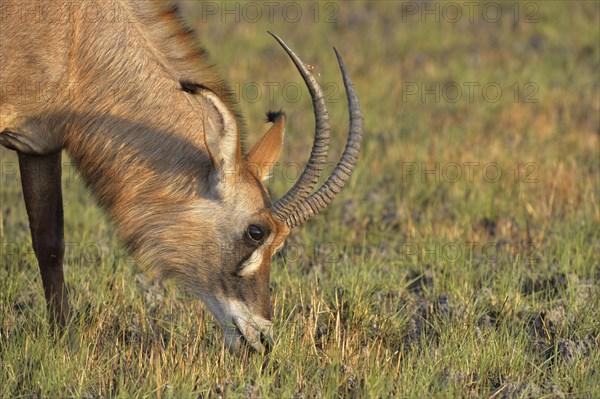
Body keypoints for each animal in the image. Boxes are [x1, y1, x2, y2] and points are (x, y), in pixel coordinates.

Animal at [0, 0, 360, 354]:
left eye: (282, 240)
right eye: (256, 232)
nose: (262, 339)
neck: (78, 39)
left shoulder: (40, 144)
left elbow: (49, 244)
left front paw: (65, 344)